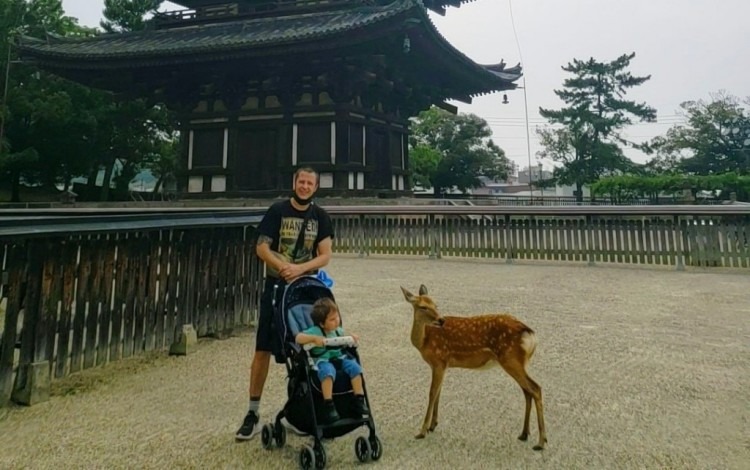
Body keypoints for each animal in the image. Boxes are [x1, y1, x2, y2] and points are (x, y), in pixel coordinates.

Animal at [402, 284, 548, 450]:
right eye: (423, 307)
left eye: (435, 305)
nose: (441, 320)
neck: (424, 341)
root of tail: (531, 334)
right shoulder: (442, 365)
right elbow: (438, 393)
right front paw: (433, 425)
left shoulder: (439, 361)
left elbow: (432, 393)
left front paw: (422, 431)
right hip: (518, 362)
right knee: (527, 391)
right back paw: (524, 434)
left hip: (511, 359)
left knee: (535, 388)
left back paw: (541, 441)